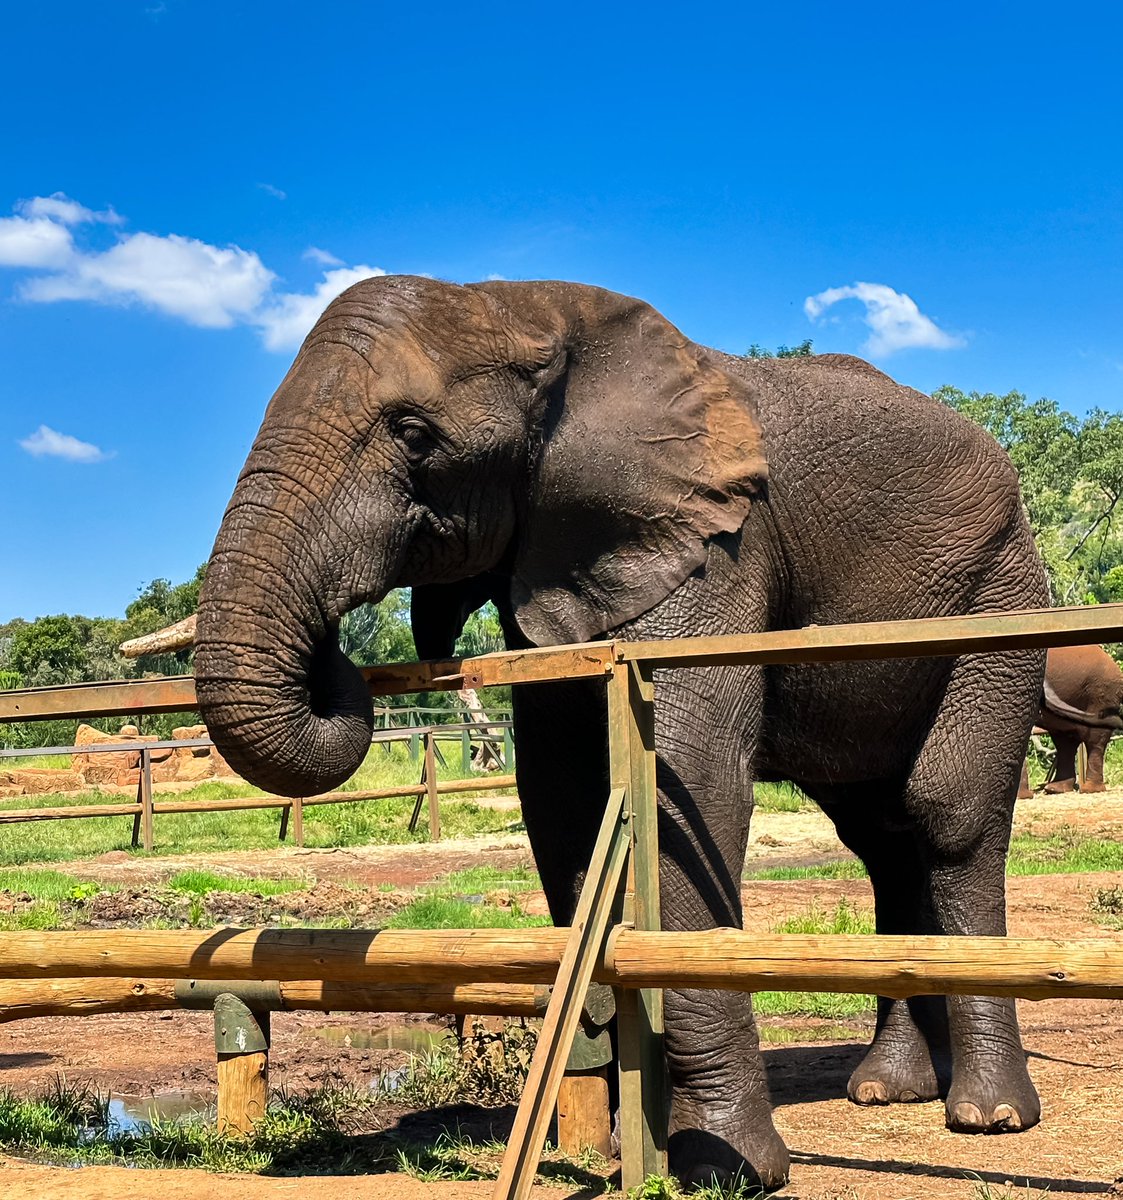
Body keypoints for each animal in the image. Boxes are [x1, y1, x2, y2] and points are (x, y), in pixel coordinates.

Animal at [194, 276, 1048, 1191]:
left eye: (414, 435)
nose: (340, 654)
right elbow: (562, 797)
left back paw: (988, 1114)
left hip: (1002, 595)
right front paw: (609, 1143)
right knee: (879, 836)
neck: (528, 308)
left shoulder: (713, 547)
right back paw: (888, 1090)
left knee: (945, 813)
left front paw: (727, 1169)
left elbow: (688, 784)